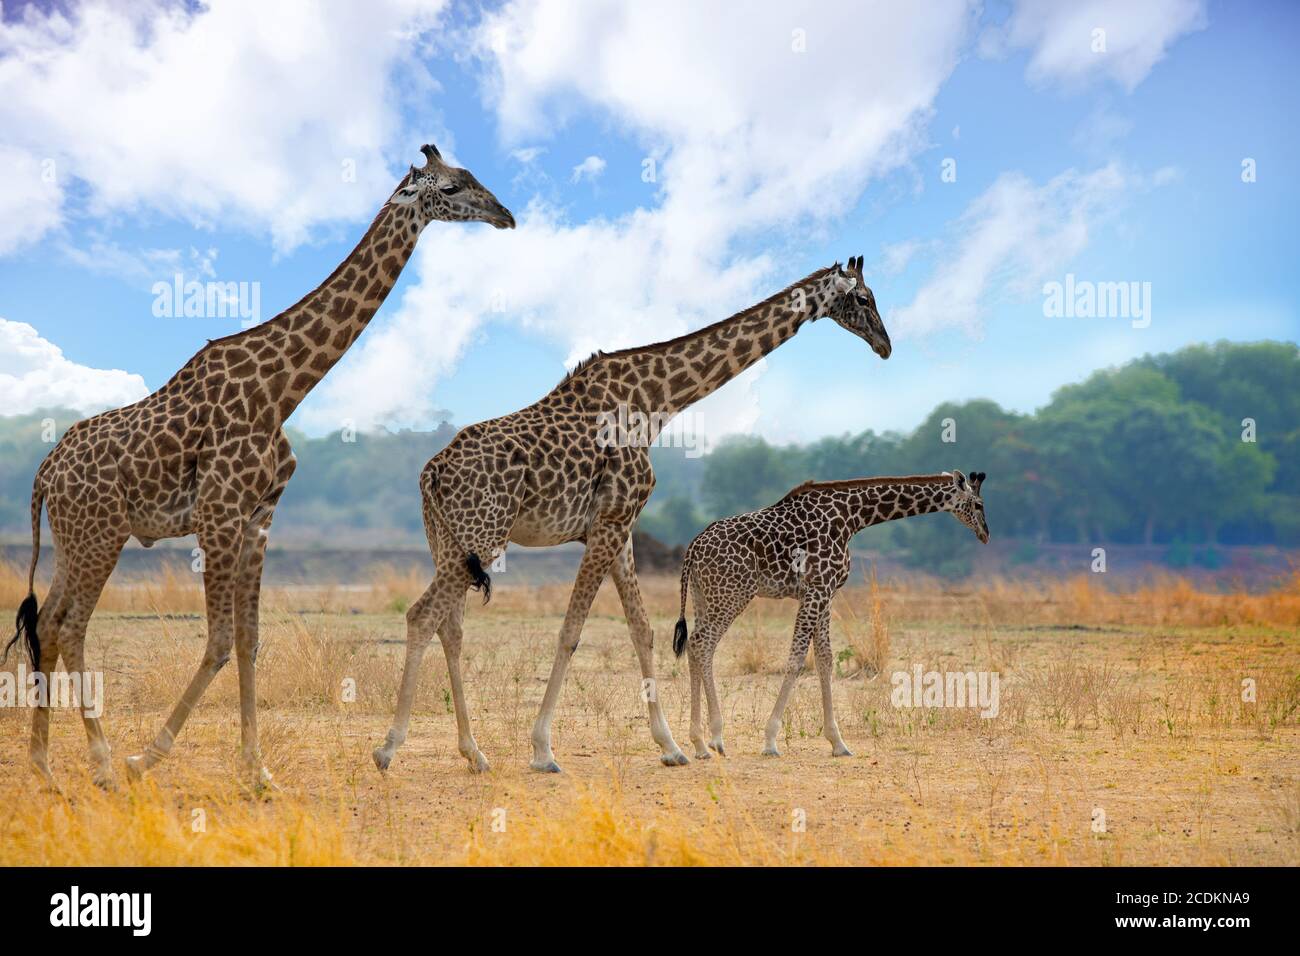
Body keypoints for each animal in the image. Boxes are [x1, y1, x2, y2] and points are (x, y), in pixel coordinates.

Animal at [3, 144, 514, 790]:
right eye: (449, 189)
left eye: (472, 177)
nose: (505, 215)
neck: (281, 392)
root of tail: (44, 473)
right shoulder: (218, 515)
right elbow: (220, 640)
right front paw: (150, 755)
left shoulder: (257, 518)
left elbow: (248, 640)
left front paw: (257, 770)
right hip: (100, 534)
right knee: (71, 626)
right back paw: (103, 763)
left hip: (78, 536)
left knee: (46, 622)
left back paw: (43, 765)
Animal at [372, 255, 891, 775]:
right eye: (864, 298)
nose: (885, 346)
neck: (657, 401)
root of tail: (432, 472)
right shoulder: (609, 523)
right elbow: (571, 631)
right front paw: (543, 750)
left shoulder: (618, 529)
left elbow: (643, 630)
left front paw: (672, 746)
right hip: (483, 536)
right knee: (422, 615)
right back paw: (389, 747)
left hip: (449, 541)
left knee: (450, 627)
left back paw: (473, 752)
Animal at [673, 470, 988, 759]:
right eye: (979, 504)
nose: (985, 534)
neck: (852, 518)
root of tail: (693, 547)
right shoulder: (817, 589)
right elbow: (796, 659)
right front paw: (771, 741)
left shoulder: (826, 593)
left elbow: (825, 659)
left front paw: (838, 742)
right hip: (732, 594)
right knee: (703, 644)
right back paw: (713, 738)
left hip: (705, 597)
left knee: (696, 645)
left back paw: (700, 742)